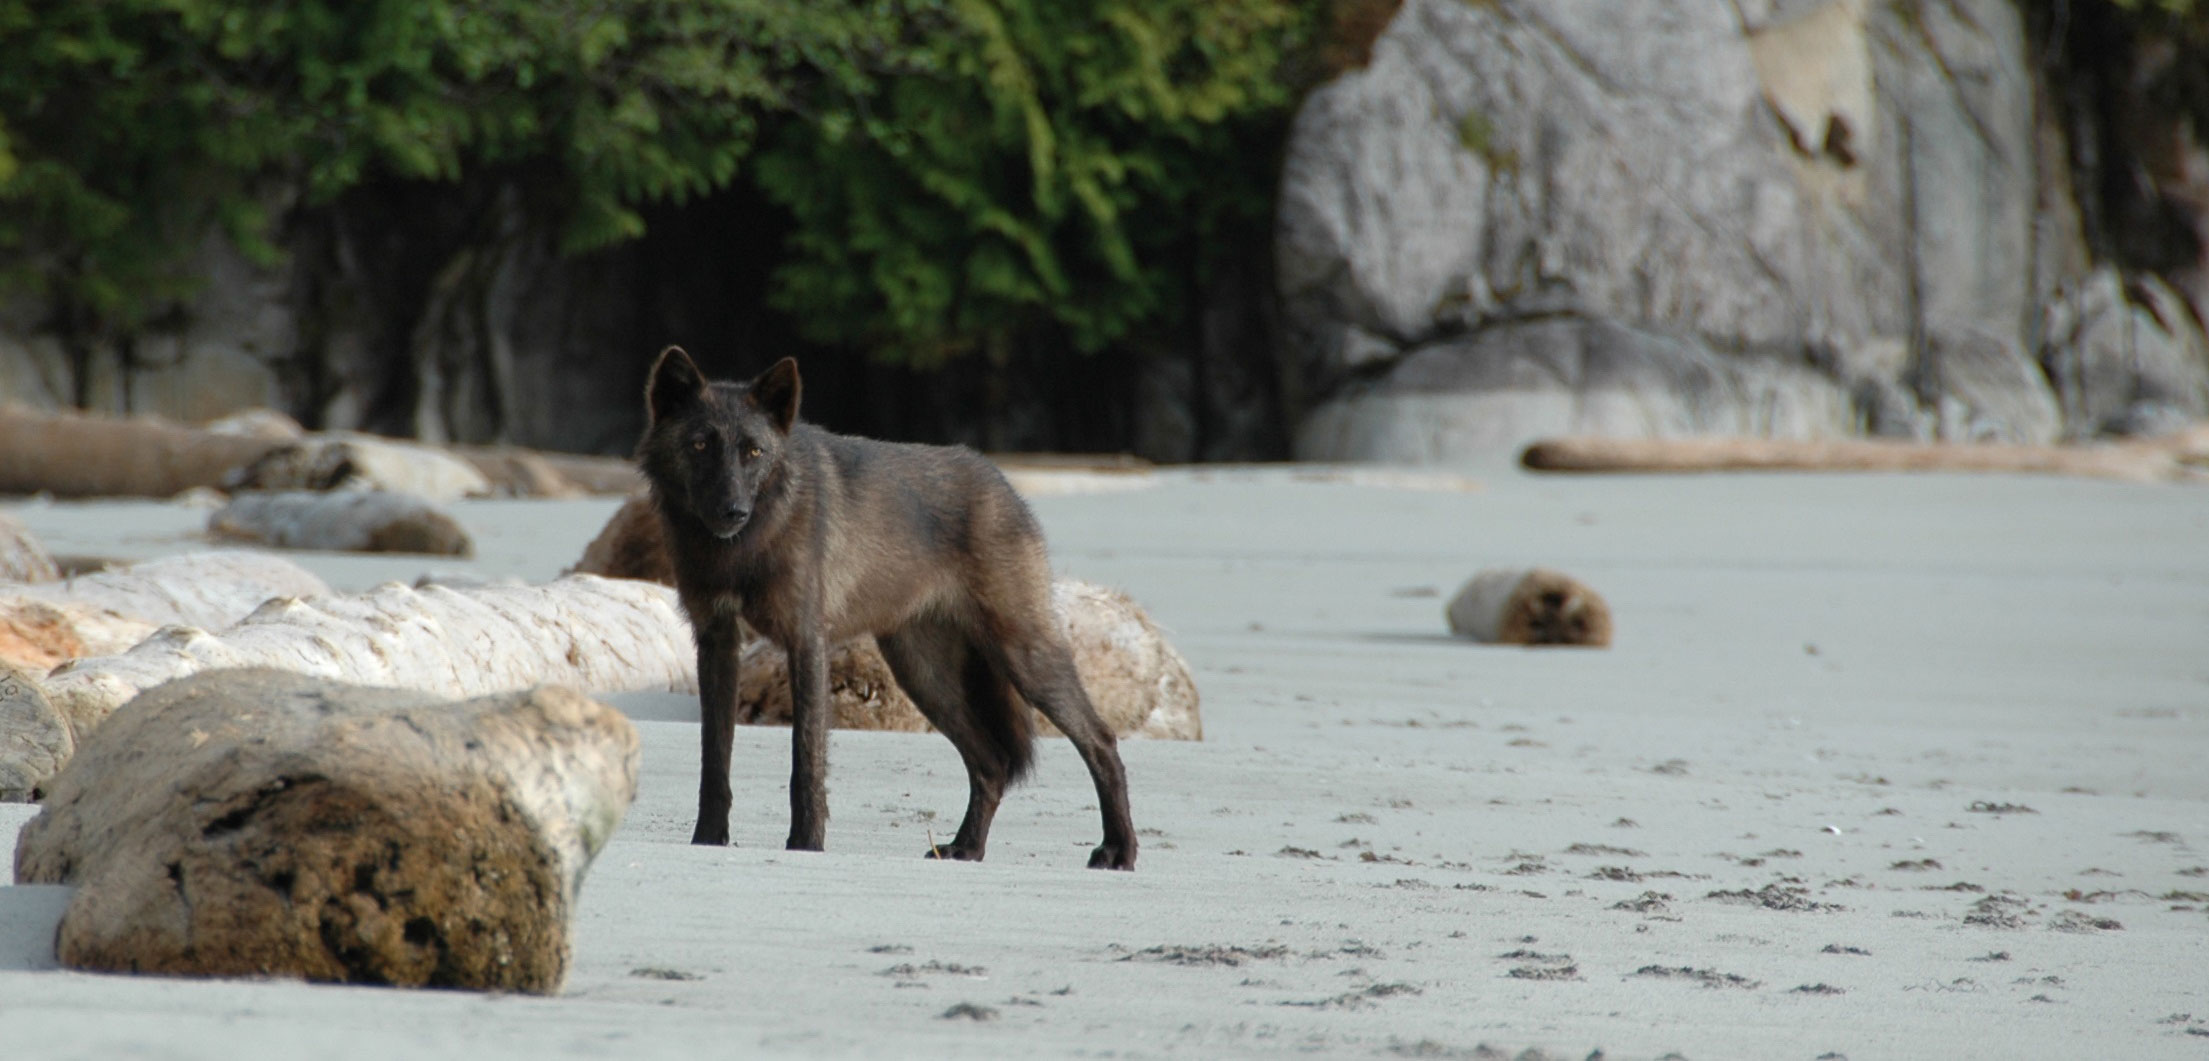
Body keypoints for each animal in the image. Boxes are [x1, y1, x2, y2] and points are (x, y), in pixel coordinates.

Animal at [636, 346, 1137, 870]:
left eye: (753, 452)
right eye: (699, 445)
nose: (733, 510)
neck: (745, 547)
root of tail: (1002, 482)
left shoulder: (806, 642)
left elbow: (806, 758)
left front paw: (806, 844)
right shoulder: (716, 642)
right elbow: (715, 758)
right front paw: (708, 840)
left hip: (1022, 657)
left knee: (1100, 741)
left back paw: (1118, 851)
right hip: (924, 677)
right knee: (992, 763)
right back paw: (965, 848)